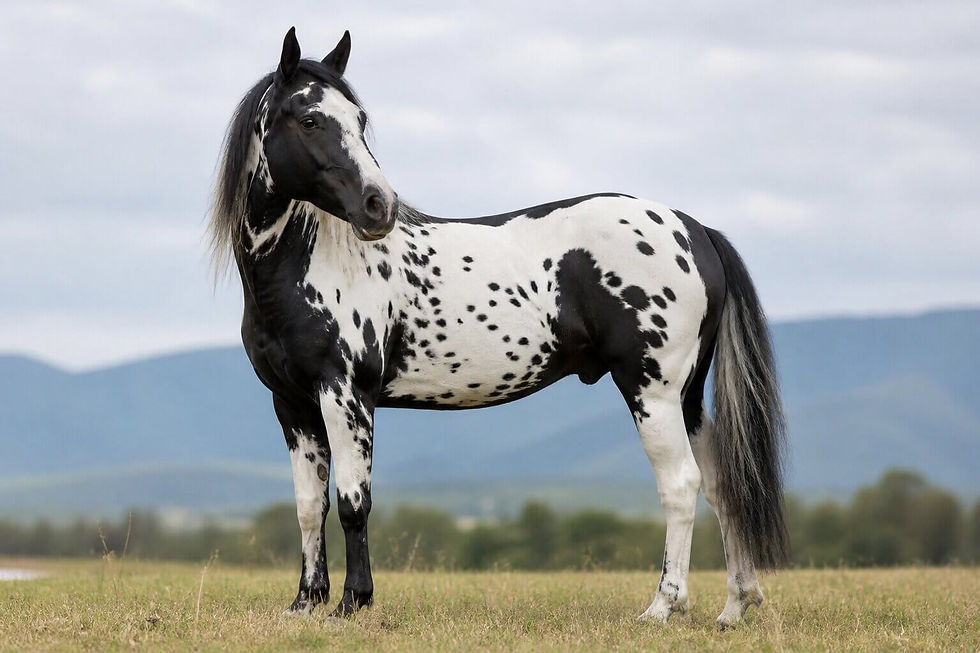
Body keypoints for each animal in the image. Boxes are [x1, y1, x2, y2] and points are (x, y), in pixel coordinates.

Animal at [208, 27, 788, 628]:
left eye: (359, 119)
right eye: (309, 119)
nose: (379, 206)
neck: (310, 262)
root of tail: (693, 228)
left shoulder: (344, 394)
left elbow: (352, 502)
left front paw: (351, 603)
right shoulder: (292, 404)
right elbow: (309, 506)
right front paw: (305, 602)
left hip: (653, 390)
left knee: (681, 485)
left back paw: (662, 606)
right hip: (687, 396)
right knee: (723, 485)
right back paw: (735, 606)